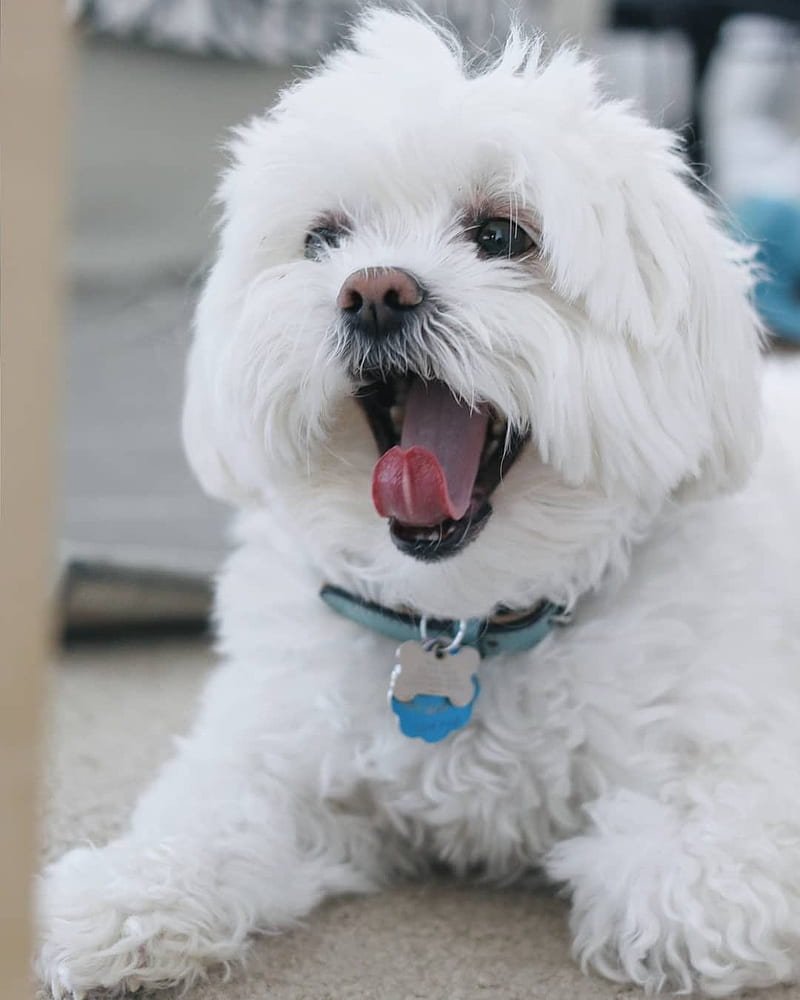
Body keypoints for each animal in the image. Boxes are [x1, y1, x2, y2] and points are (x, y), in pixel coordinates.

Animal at [37, 9, 800, 1000]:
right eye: (324, 239)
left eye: (504, 235)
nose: (373, 290)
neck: (462, 620)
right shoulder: (278, 745)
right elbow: (210, 813)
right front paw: (123, 892)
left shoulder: (738, 747)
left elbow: (694, 873)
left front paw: (652, 876)